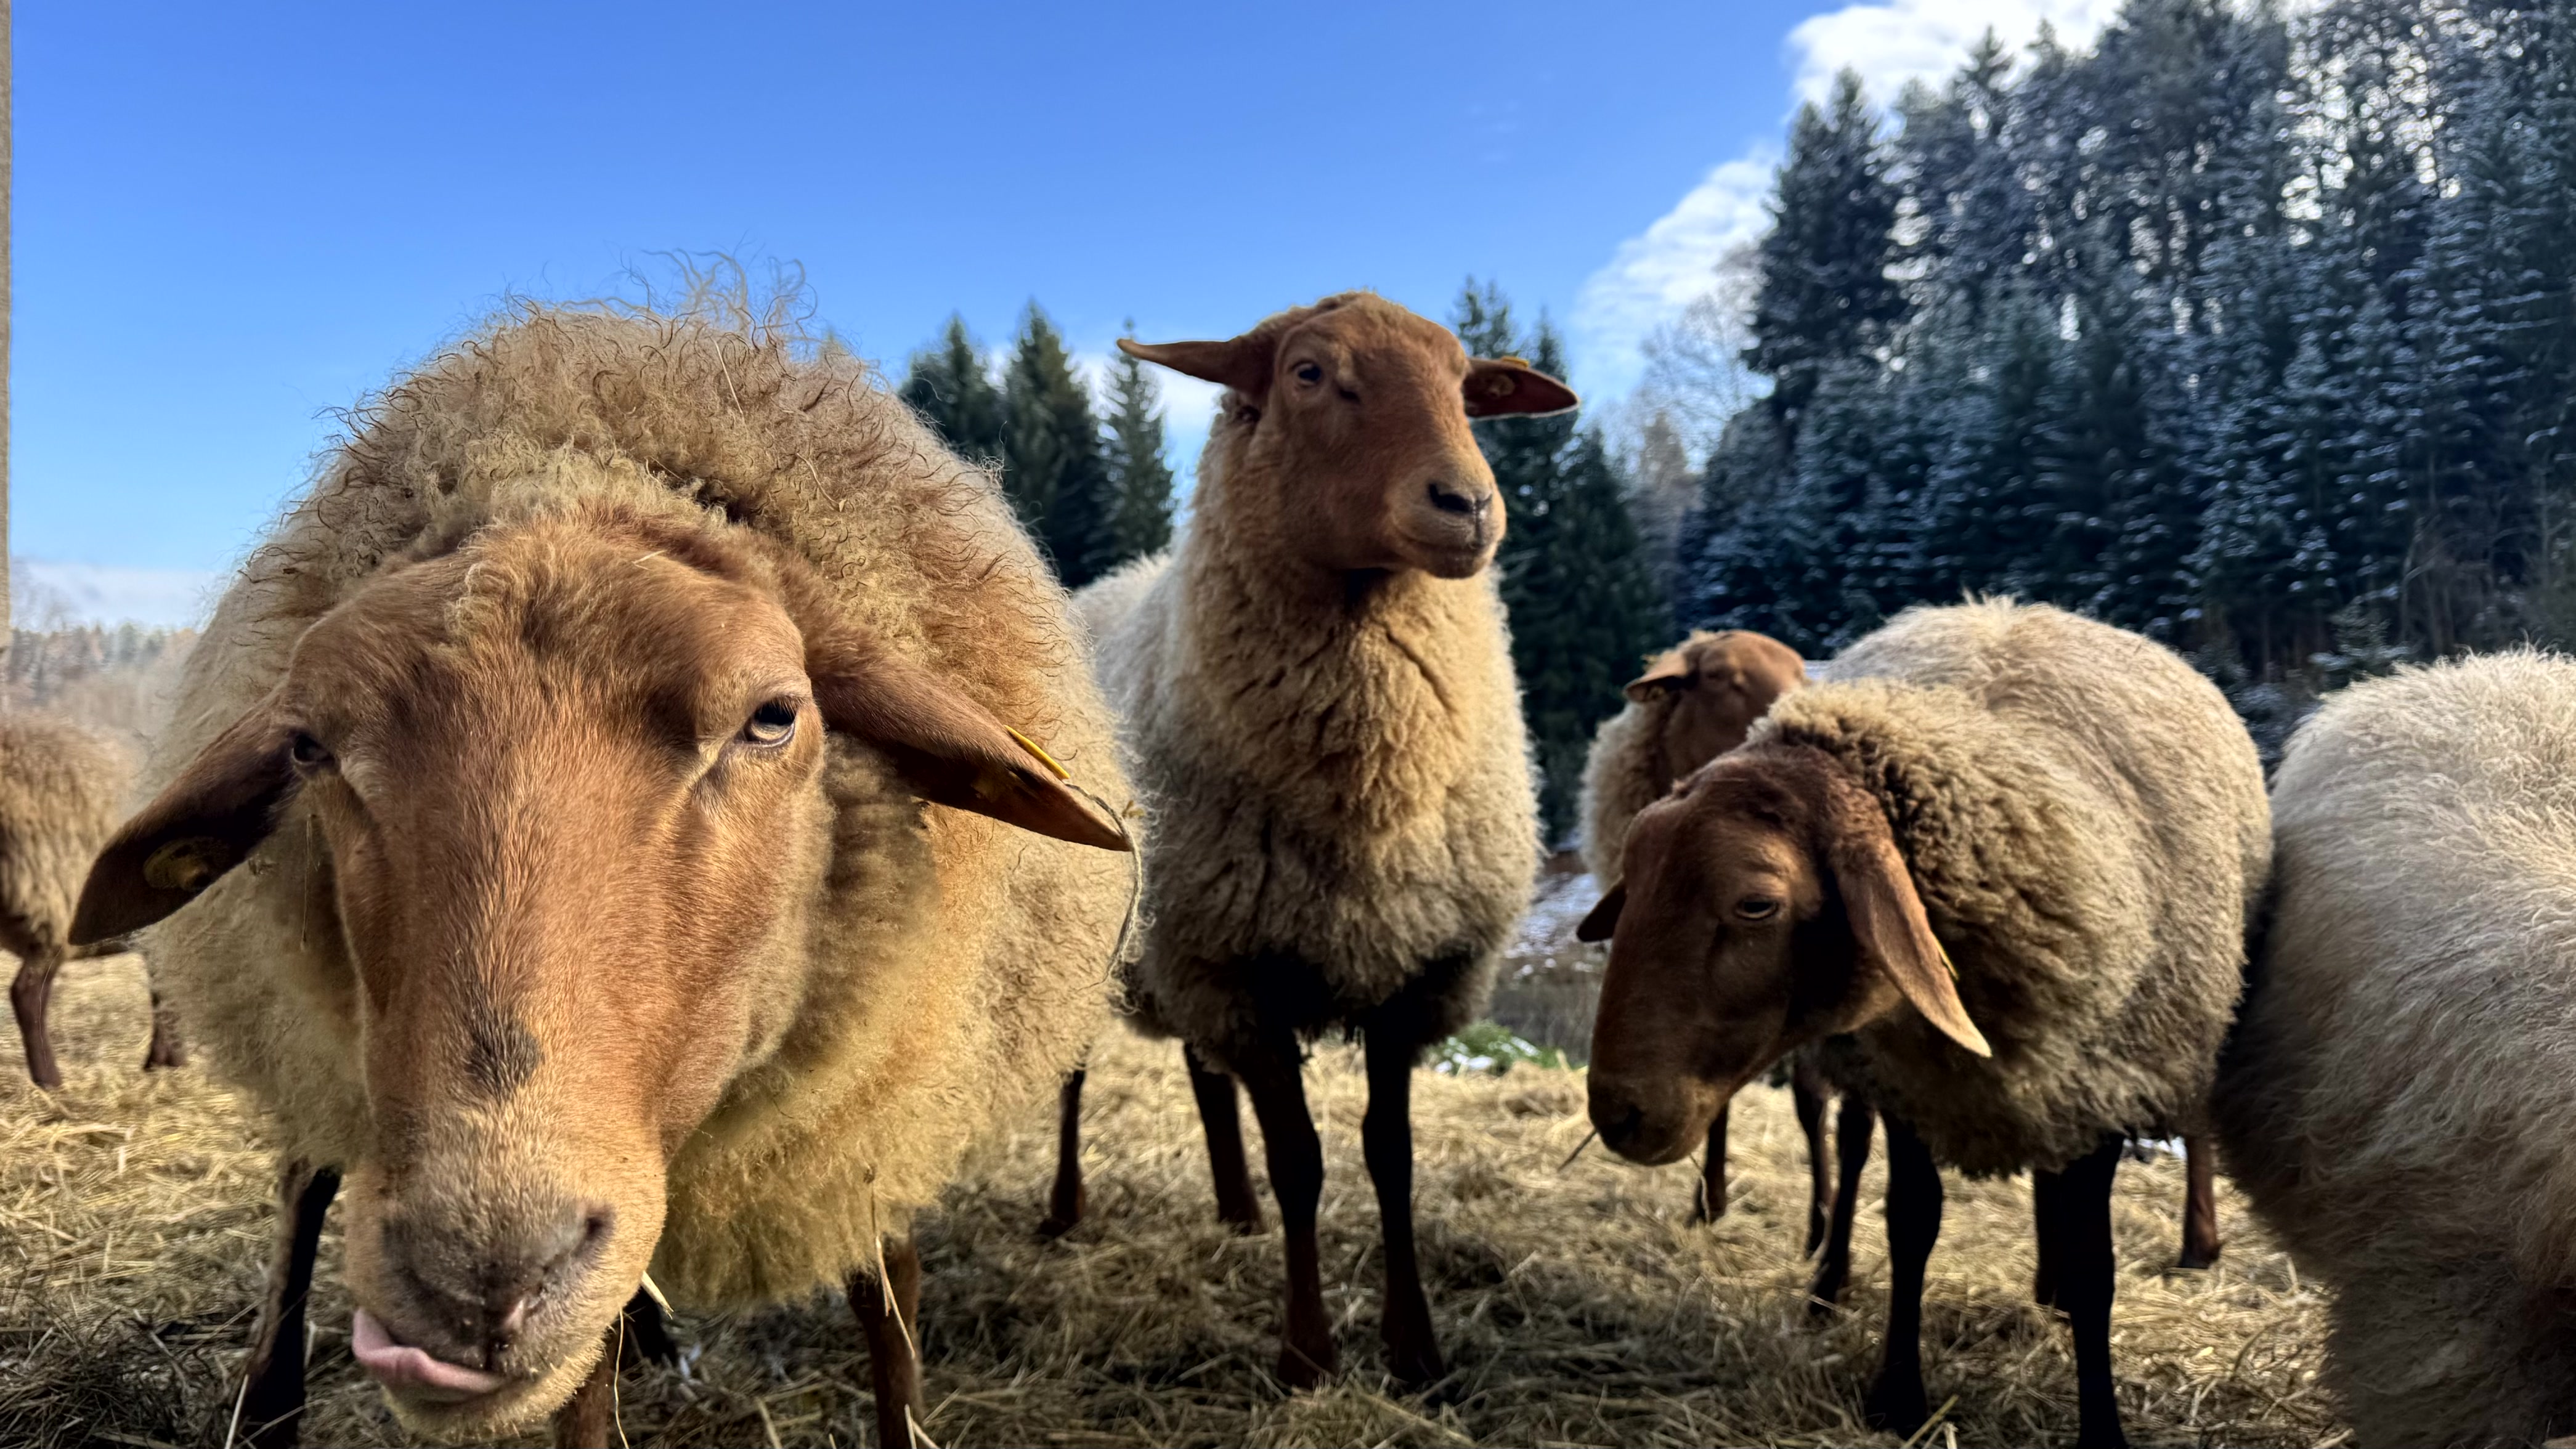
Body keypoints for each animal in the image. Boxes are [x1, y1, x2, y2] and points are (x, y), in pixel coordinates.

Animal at [67, 302, 1136, 1449]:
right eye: (309, 747)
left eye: (774, 716)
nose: (475, 1276)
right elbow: (582, 1395)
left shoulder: (876, 1106)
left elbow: (888, 1303)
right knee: (306, 1181)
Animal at [1043, 292, 1576, 1388]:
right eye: (1307, 373)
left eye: (1467, 384)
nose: (1469, 505)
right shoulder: (1241, 969)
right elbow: (1302, 1162)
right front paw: (1306, 1356)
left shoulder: (1408, 972)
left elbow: (1389, 1159)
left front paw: (1415, 1350)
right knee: (1076, 1078)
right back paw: (1064, 1212)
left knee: (1206, 1078)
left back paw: (1233, 1209)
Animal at [1578, 599, 2268, 1449]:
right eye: (1634, 876)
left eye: (1755, 904)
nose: (1616, 1110)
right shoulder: (1909, 1079)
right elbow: (1910, 1222)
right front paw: (1896, 1393)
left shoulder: (2099, 1086)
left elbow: (2093, 1264)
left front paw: (2100, 1426)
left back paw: (2194, 1247)